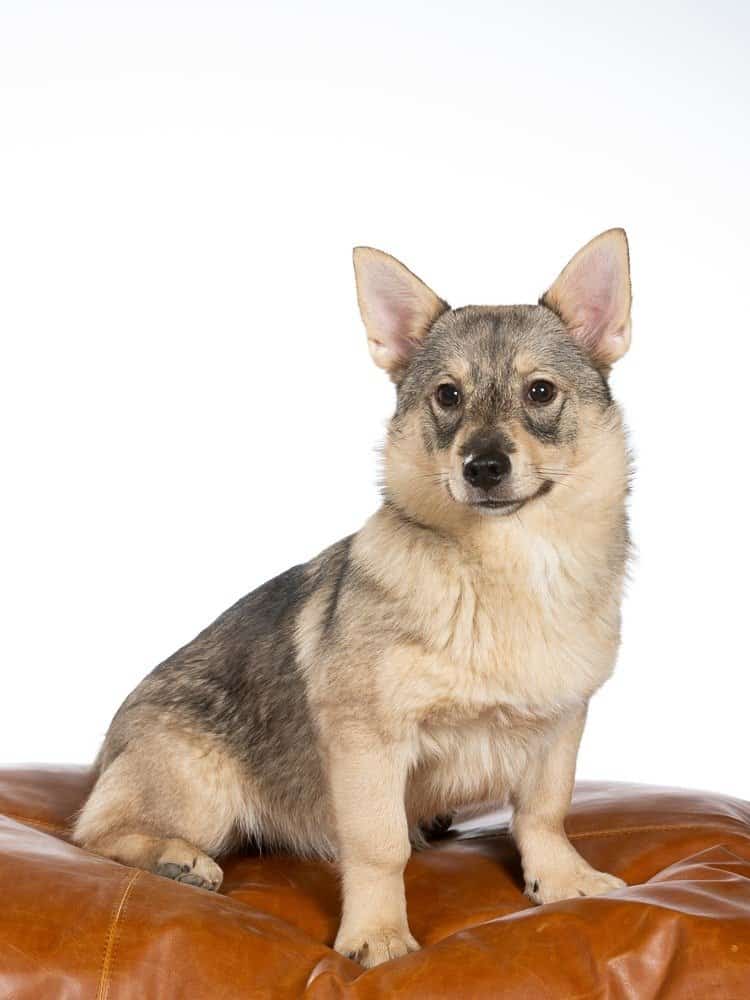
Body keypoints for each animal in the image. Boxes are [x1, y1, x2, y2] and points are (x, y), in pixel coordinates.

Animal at [73, 229, 636, 968]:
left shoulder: (559, 728)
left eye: (540, 391)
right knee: (92, 833)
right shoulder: (370, 744)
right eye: (448, 396)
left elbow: (544, 813)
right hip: (202, 790)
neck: (504, 566)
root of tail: (106, 752)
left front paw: (562, 880)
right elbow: (380, 846)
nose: (482, 466)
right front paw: (378, 933)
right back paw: (175, 858)